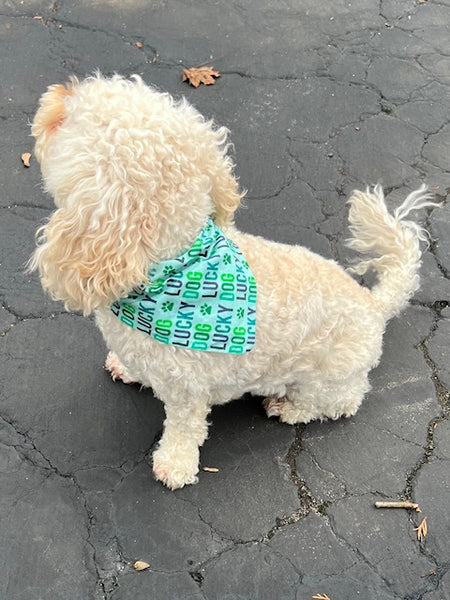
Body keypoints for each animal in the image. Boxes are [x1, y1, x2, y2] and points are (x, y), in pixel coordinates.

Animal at [30, 74, 436, 488]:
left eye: (68, 120)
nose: (60, 91)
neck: (173, 265)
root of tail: (375, 305)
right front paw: (129, 369)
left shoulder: (188, 390)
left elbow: (185, 428)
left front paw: (175, 465)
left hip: (329, 378)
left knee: (341, 402)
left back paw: (289, 407)